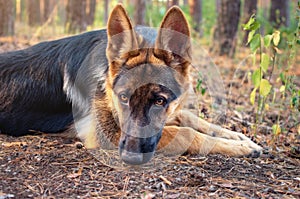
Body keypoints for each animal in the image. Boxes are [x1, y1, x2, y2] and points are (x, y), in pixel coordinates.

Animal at [0, 5, 262, 165]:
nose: (129, 157)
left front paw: (241, 139)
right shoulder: (105, 133)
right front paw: (239, 147)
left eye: (160, 101)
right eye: (123, 98)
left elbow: (189, 118)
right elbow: (185, 132)